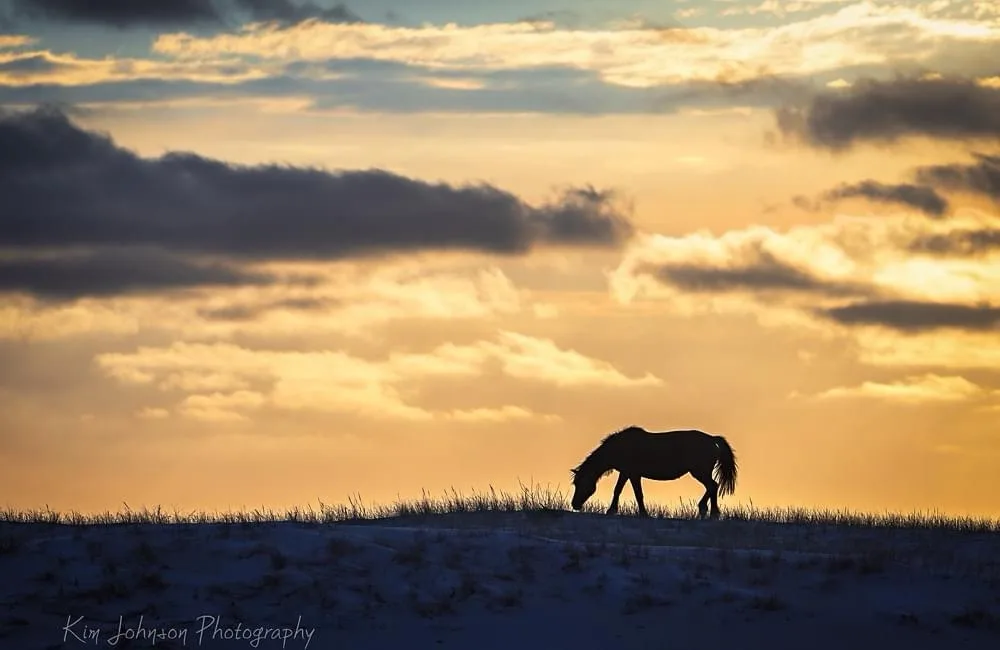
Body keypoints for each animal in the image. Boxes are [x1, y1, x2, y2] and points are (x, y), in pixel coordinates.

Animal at [569, 426, 738, 519]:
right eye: (575, 484)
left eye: (580, 483)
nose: (574, 504)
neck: (621, 447)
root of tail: (712, 439)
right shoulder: (626, 473)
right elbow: (621, 490)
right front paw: (614, 510)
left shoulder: (632, 473)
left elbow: (634, 493)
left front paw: (636, 513)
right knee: (712, 487)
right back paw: (708, 511)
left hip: (700, 472)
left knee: (713, 486)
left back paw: (710, 511)